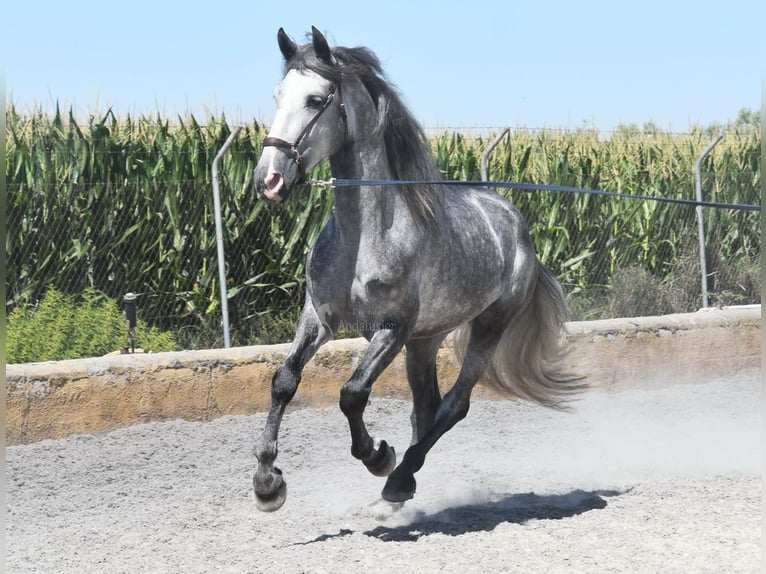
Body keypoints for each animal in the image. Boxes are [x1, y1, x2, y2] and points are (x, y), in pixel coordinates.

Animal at [252, 27, 584, 512]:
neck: (365, 238)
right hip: (425, 341)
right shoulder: (319, 317)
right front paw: (267, 483)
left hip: (487, 326)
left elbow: (352, 394)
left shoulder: (393, 328)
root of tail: (518, 228)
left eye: (315, 100)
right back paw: (401, 488)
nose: (269, 180)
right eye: (278, 95)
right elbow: (284, 381)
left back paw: (398, 477)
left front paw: (378, 456)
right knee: (426, 408)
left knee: (454, 405)